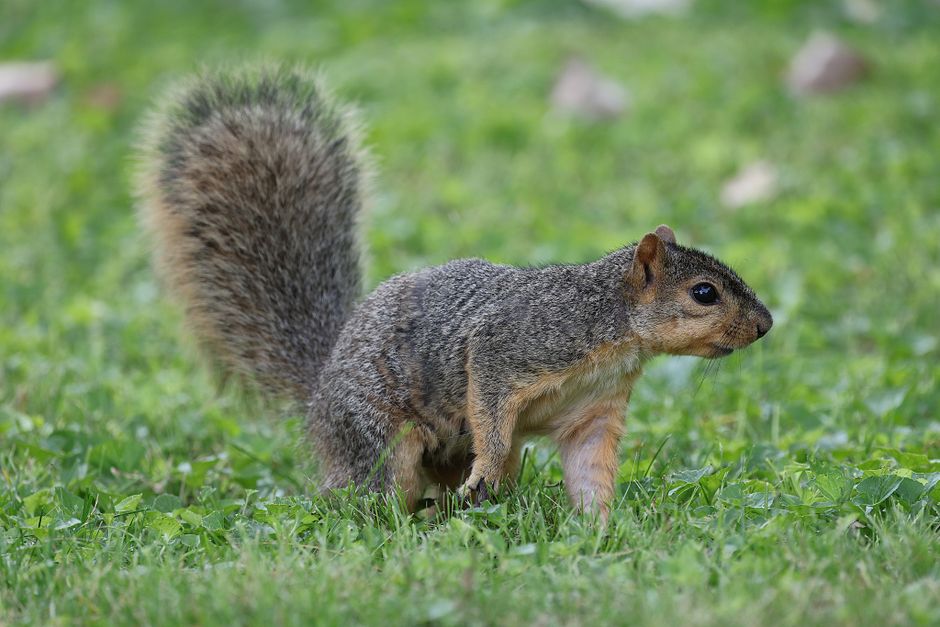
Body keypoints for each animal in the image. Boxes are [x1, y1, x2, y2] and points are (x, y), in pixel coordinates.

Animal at [137, 66, 773, 520]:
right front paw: (490, 472)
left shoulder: (593, 412)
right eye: (705, 292)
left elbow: (590, 471)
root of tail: (319, 394)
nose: (766, 325)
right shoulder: (516, 344)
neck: (611, 324)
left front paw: (602, 530)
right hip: (380, 437)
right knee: (371, 495)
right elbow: (489, 403)